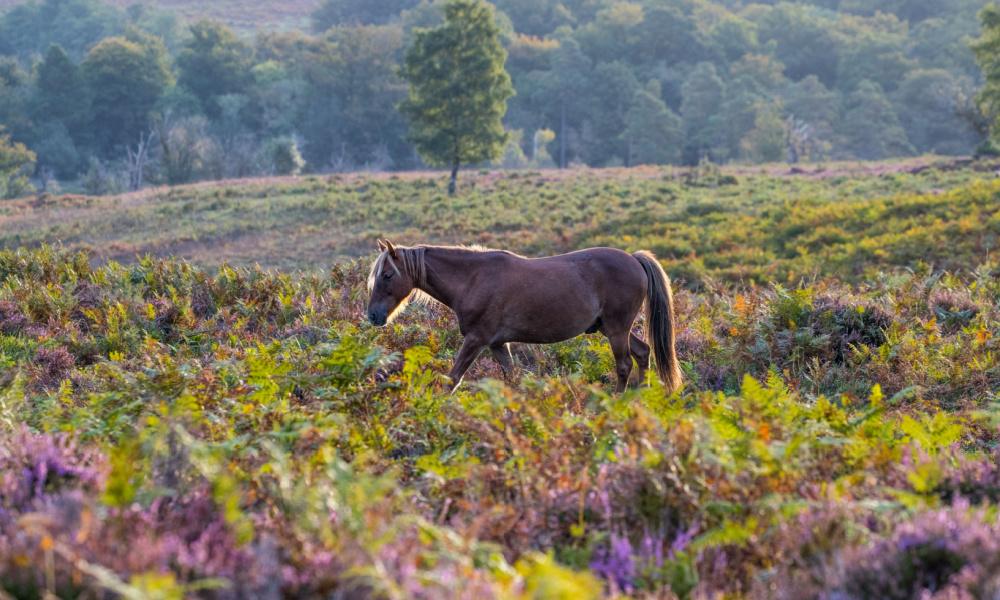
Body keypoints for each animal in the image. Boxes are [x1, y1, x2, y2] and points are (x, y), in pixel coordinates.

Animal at [364, 240, 684, 394]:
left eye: (388, 275)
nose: (374, 316)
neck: (473, 278)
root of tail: (634, 259)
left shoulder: (476, 340)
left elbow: (453, 378)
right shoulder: (496, 344)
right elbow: (512, 377)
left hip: (617, 329)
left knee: (624, 365)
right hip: (612, 328)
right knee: (643, 353)